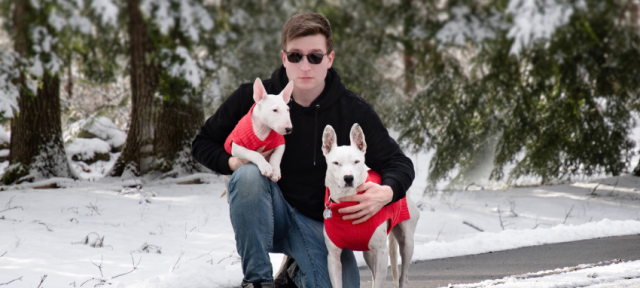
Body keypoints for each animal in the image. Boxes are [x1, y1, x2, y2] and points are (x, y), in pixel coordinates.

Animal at [320, 124, 420, 288]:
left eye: (356, 161)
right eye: (336, 163)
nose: (348, 178)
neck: (348, 199)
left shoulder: (381, 252)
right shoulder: (333, 257)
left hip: (407, 243)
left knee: (403, 276)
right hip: (368, 252)